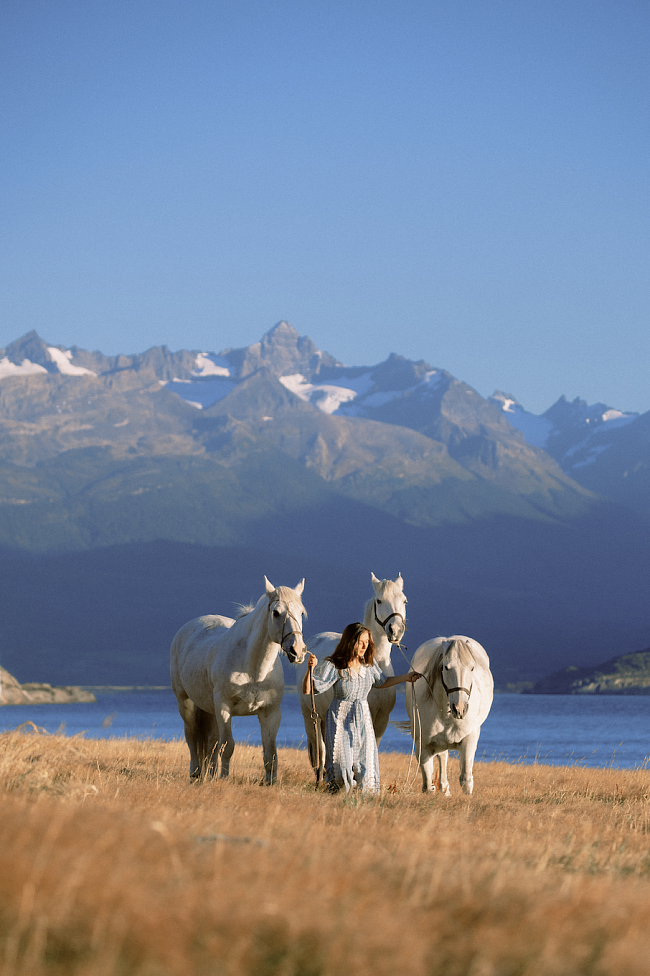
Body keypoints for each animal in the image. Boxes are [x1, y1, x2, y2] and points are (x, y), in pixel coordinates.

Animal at [170, 580, 306, 784]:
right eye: (276, 612)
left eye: (302, 612)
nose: (297, 650)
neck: (253, 670)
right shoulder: (224, 708)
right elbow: (227, 747)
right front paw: (225, 779)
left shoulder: (271, 712)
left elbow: (270, 752)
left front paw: (270, 783)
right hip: (185, 702)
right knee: (192, 736)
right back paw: (196, 774)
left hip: (210, 709)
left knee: (211, 740)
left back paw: (210, 774)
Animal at [298, 576, 404, 780]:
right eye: (379, 601)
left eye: (404, 600)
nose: (395, 630)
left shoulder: (382, 719)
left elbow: (372, 747)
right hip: (309, 715)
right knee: (320, 748)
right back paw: (321, 777)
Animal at [404, 640, 492, 792]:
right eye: (446, 667)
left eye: (472, 668)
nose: (460, 709)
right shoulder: (423, 747)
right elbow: (428, 784)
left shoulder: (469, 739)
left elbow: (466, 780)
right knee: (442, 757)